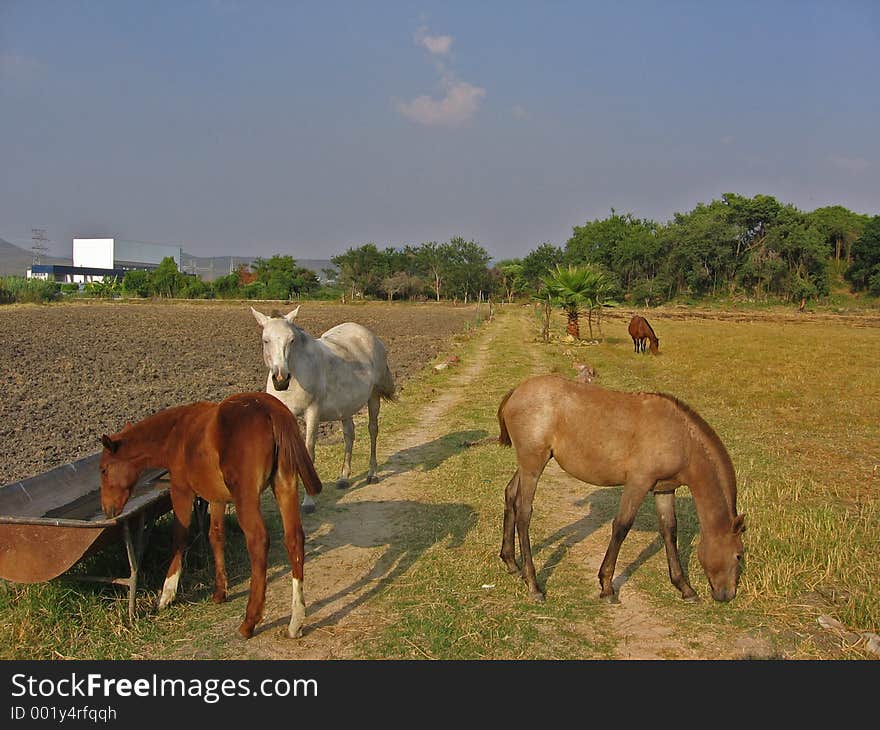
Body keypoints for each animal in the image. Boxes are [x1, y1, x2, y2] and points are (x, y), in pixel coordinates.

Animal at [100, 390, 320, 636]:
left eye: (104, 470)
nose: (107, 510)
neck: (177, 433)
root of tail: (271, 410)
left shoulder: (181, 491)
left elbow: (180, 537)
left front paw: (166, 595)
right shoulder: (216, 498)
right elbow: (216, 536)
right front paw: (219, 592)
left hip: (247, 497)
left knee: (258, 541)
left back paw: (249, 621)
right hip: (284, 485)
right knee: (294, 540)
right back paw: (295, 621)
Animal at [249, 304, 398, 510]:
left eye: (291, 340)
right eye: (266, 340)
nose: (280, 379)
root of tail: (370, 336)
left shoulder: (313, 414)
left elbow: (309, 453)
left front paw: (308, 502)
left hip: (373, 397)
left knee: (373, 430)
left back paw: (372, 474)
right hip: (346, 406)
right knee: (349, 435)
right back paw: (343, 478)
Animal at [496, 376, 744, 604]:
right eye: (739, 556)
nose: (727, 595)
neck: (681, 438)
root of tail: (516, 392)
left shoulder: (664, 489)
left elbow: (669, 530)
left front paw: (685, 588)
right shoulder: (638, 483)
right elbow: (622, 526)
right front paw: (606, 586)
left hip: (530, 464)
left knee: (510, 494)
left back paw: (511, 562)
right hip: (533, 464)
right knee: (524, 513)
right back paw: (533, 584)